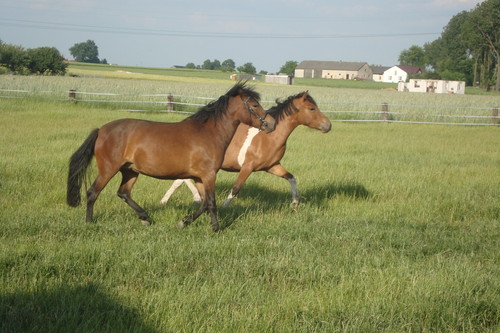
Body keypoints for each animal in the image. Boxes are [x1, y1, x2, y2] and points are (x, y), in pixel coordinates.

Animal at [66, 81, 276, 230]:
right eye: (254, 105)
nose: (271, 124)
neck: (209, 133)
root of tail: (101, 130)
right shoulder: (209, 175)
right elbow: (211, 203)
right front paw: (216, 228)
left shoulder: (199, 177)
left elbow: (203, 203)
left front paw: (184, 222)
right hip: (109, 169)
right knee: (93, 192)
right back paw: (89, 221)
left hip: (130, 171)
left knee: (123, 193)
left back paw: (145, 218)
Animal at [161, 91, 332, 208]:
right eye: (312, 108)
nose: (328, 125)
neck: (269, 136)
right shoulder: (247, 167)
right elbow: (235, 189)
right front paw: (223, 208)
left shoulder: (272, 166)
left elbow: (291, 178)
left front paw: (294, 203)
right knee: (181, 180)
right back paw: (191, 198)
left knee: (179, 180)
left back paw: (168, 200)